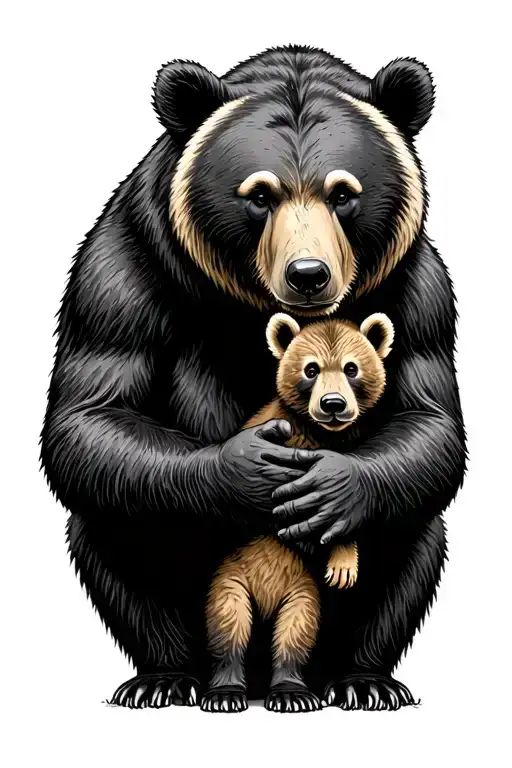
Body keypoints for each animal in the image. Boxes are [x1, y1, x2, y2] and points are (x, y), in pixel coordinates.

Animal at [202, 311, 394, 713]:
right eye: (311, 369)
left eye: (351, 368)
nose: (333, 404)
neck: (316, 435)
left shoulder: (340, 464)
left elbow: (342, 506)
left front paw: (343, 563)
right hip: (230, 577)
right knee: (227, 625)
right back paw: (226, 689)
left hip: (302, 589)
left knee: (297, 631)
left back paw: (291, 689)